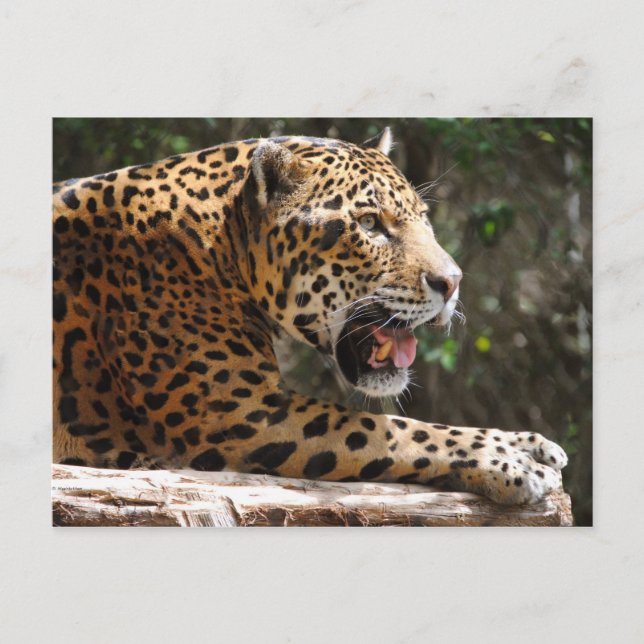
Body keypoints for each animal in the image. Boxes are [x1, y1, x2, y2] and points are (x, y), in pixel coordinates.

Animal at [52, 127, 568, 505]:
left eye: (423, 217)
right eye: (369, 224)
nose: (453, 282)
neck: (217, 240)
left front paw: (527, 443)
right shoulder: (238, 415)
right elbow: (397, 430)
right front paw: (511, 464)